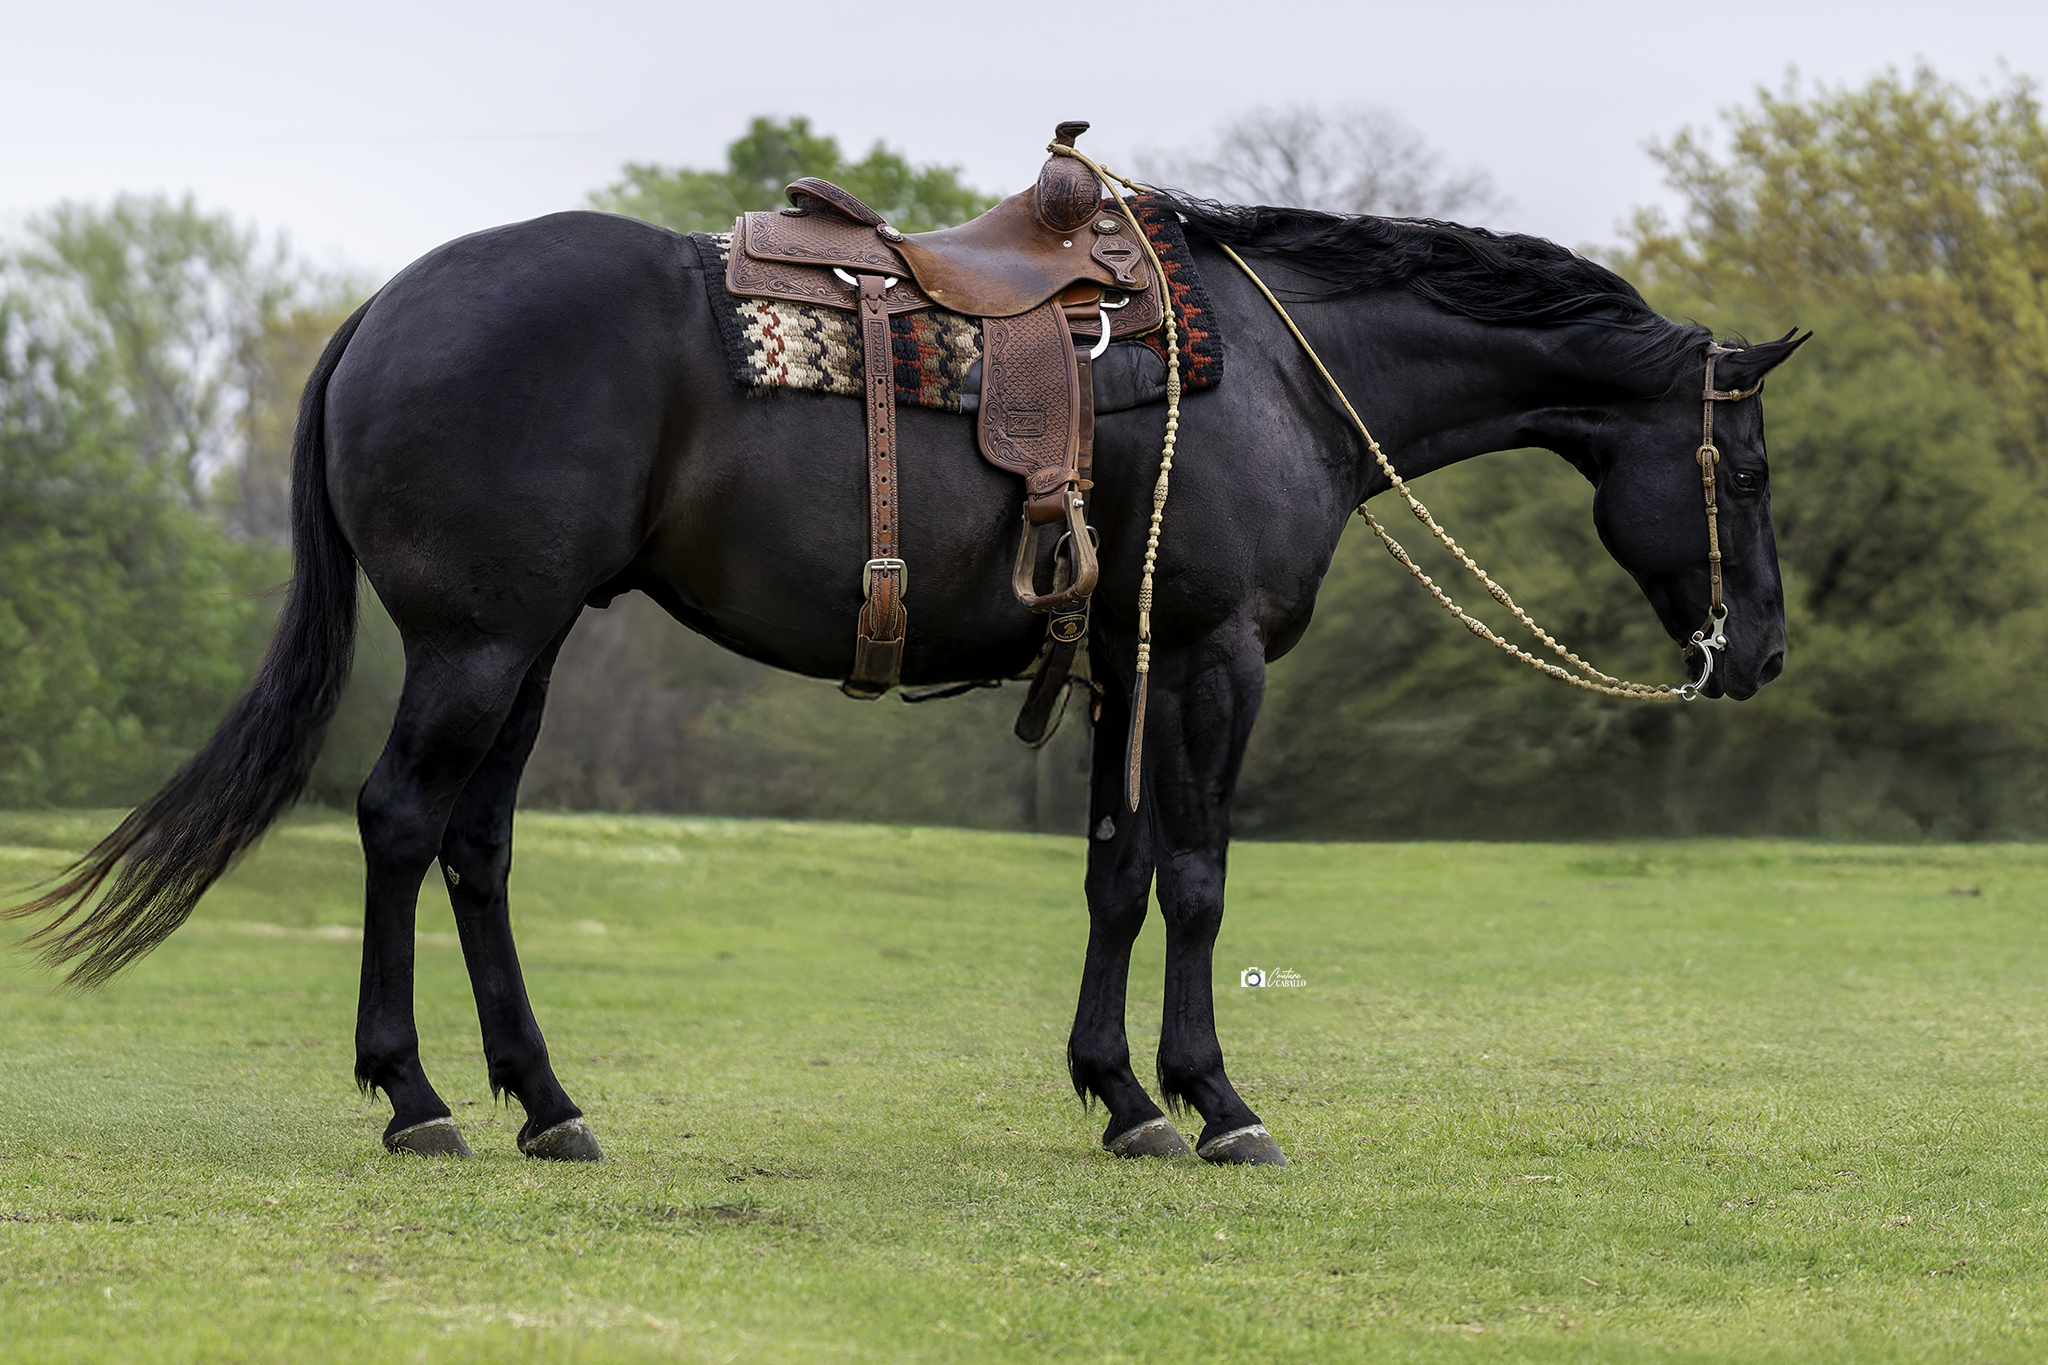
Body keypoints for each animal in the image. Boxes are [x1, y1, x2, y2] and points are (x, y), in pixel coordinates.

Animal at [6, 193, 1805, 1166]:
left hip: (530, 645)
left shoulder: (1123, 673)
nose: (1763, 652)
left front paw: (1119, 1097)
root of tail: (382, 307)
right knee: (394, 822)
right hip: (478, 639)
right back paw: (417, 1097)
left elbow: (1117, 876)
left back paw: (546, 1100)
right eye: (1749, 462)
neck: (1280, 375)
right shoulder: (1210, 660)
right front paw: (1216, 1099)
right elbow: (1201, 877)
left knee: (475, 846)